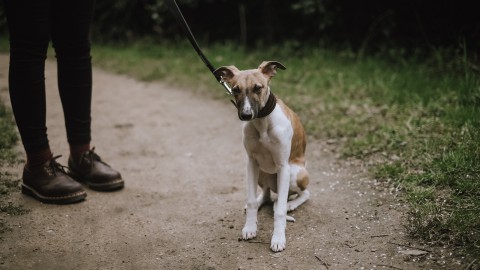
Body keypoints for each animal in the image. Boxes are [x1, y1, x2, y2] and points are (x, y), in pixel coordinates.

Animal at [214, 60, 312, 251]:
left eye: (258, 88)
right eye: (235, 89)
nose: (246, 115)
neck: (262, 122)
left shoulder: (283, 167)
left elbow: (279, 211)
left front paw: (278, 238)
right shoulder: (251, 162)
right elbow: (251, 200)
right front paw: (250, 227)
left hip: (294, 173)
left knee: (304, 194)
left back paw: (291, 204)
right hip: (261, 173)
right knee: (266, 194)